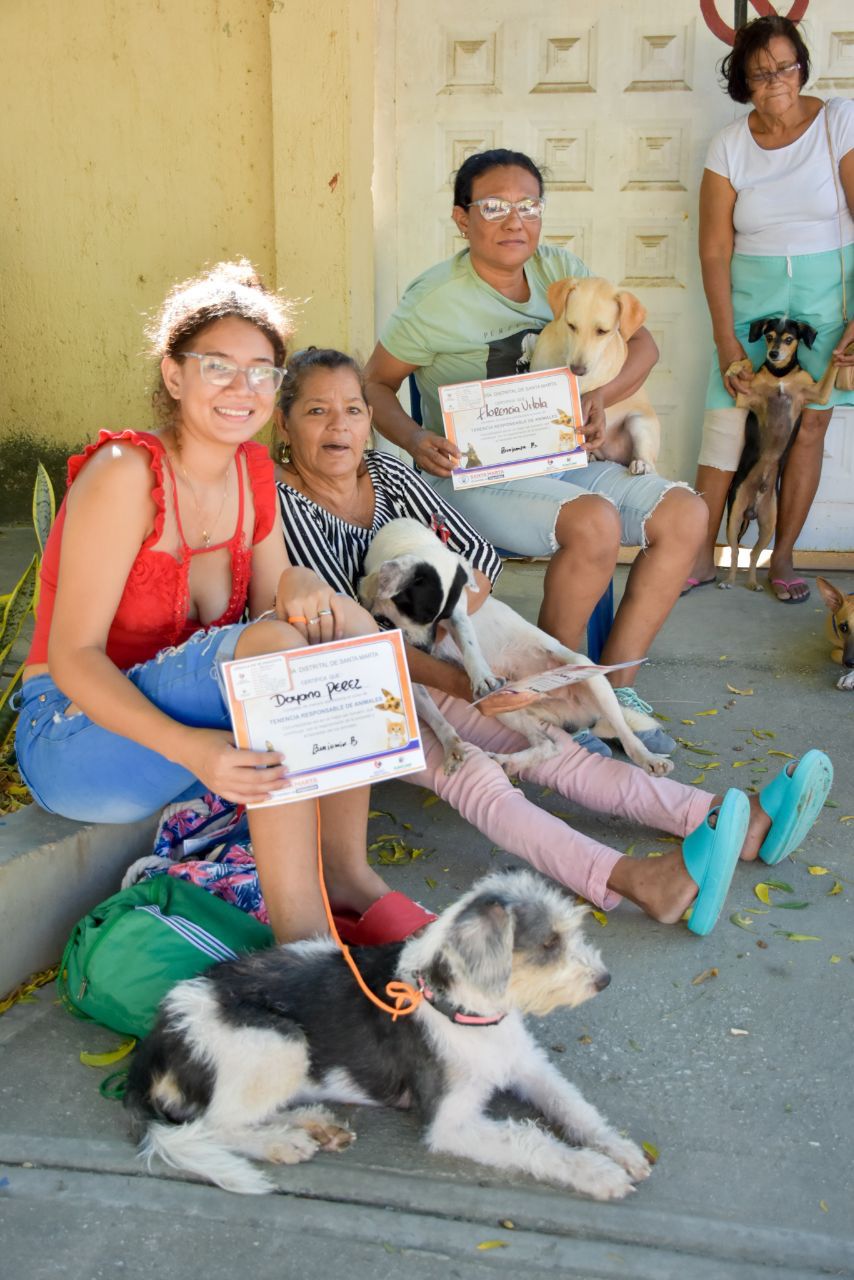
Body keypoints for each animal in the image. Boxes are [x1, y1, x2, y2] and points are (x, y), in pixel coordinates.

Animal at [123, 870, 650, 1198]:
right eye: (549, 944)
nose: (604, 980)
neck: (464, 1010)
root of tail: (159, 1038)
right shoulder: (451, 1123)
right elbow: (532, 1141)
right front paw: (597, 1173)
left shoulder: (527, 1066)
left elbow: (574, 1107)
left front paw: (620, 1149)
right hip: (276, 1042)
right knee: (211, 1127)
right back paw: (282, 1143)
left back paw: (313, 1124)